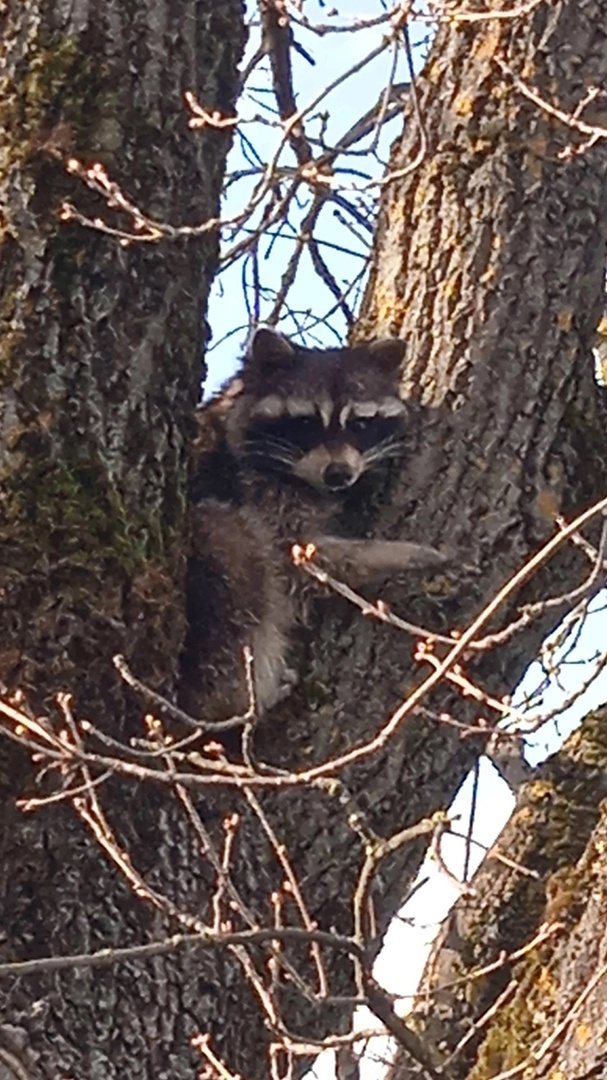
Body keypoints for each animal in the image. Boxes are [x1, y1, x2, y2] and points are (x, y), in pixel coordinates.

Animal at [179, 326, 444, 725]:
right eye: (306, 423)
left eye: (360, 423)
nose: (339, 474)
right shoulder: (256, 489)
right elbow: (298, 553)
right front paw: (394, 554)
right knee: (239, 557)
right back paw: (241, 698)